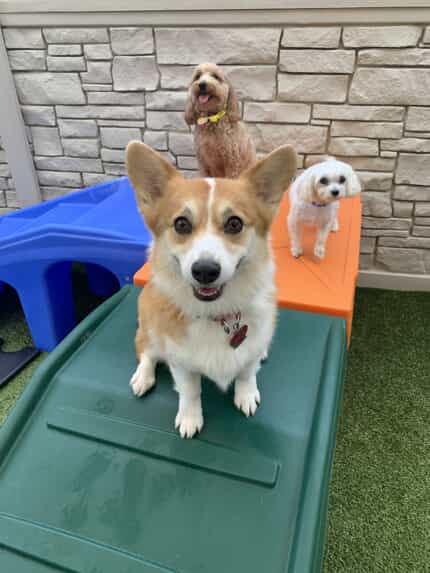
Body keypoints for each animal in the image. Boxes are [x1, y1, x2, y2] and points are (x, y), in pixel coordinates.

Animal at [126, 141, 298, 436]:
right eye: (181, 223)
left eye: (235, 223)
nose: (205, 271)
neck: (217, 314)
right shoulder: (180, 362)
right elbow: (190, 391)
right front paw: (190, 419)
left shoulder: (250, 350)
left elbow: (246, 372)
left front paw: (246, 395)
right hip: (149, 323)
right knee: (146, 350)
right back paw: (143, 377)